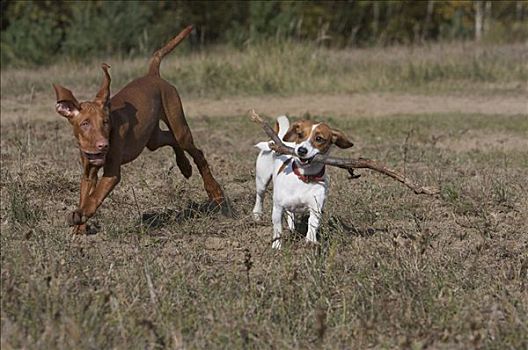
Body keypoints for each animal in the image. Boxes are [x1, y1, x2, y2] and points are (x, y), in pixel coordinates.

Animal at [53, 26, 227, 234]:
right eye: (85, 124)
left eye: (105, 122)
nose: (103, 145)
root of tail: (152, 75)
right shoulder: (88, 174)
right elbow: (85, 195)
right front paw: (80, 227)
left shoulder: (112, 173)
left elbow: (94, 197)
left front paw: (81, 214)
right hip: (153, 138)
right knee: (171, 139)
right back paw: (184, 166)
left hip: (179, 126)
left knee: (196, 151)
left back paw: (215, 191)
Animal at [253, 117, 352, 249]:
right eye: (300, 135)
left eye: (319, 138)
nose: (301, 150)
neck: (304, 177)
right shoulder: (278, 208)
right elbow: (278, 229)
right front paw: (277, 246)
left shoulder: (315, 208)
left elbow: (312, 226)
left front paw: (310, 243)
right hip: (262, 181)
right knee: (260, 196)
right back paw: (257, 214)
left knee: (291, 213)